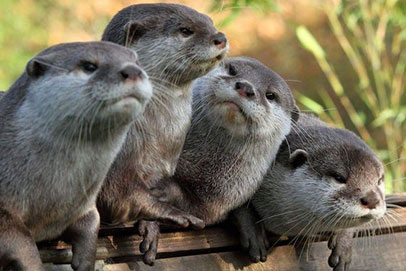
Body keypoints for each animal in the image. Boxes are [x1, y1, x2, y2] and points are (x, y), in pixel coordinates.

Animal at [0, 41, 152, 270]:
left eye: (137, 62)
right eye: (89, 66)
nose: (133, 71)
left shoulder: (85, 204)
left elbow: (92, 223)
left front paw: (86, 261)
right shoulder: (3, 208)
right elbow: (22, 243)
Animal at [96, 3, 227, 234]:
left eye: (210, 23)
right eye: (185, 30)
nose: (220, 37)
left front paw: (150, 226)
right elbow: (116, 194)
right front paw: (175, 214)